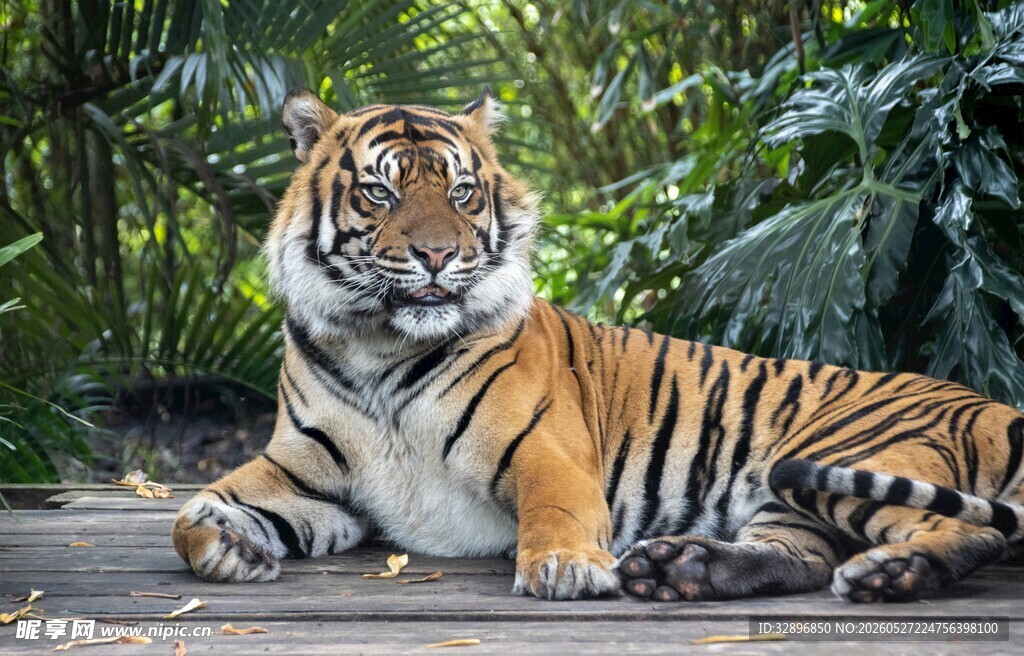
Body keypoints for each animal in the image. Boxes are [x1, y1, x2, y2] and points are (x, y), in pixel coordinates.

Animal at [172, 87, 1024, 603]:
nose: (438, 255)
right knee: (803, 556)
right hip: (788, 497)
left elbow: (555, 508)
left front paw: (566, 568)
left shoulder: (547, 447)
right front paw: (231, 548)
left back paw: (891, 572)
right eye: (379, 192)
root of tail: (992, 404)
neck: (377, 349)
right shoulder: (304, 469)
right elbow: (189, 512)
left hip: (838, 456)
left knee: (975, 531)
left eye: (462, 192)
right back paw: (687, 567)